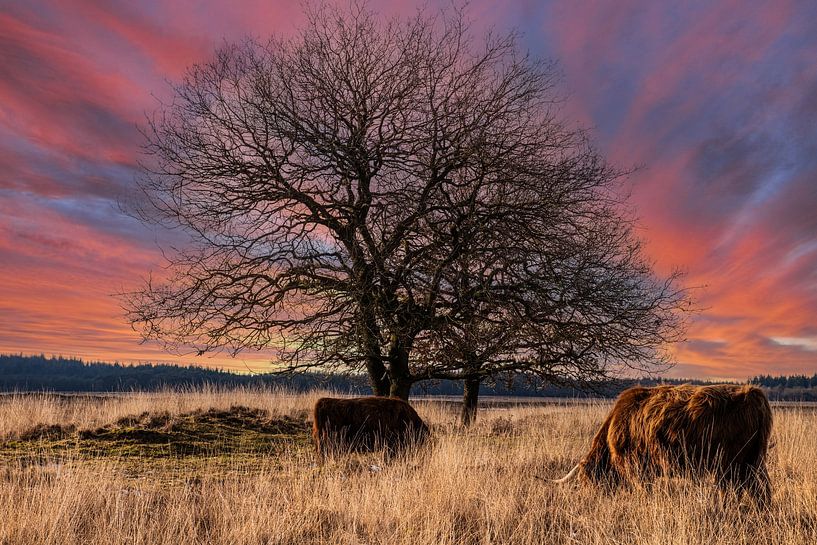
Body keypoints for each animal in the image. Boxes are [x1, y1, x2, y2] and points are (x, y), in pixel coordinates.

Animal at [553, 384, 773, 505]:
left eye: (586, 479)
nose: (588, 499)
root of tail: (754, 394)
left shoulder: (636, 468)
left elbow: (643, 492)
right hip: (754, 461)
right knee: (761, 490)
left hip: (730, 464)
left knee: (732, 490)